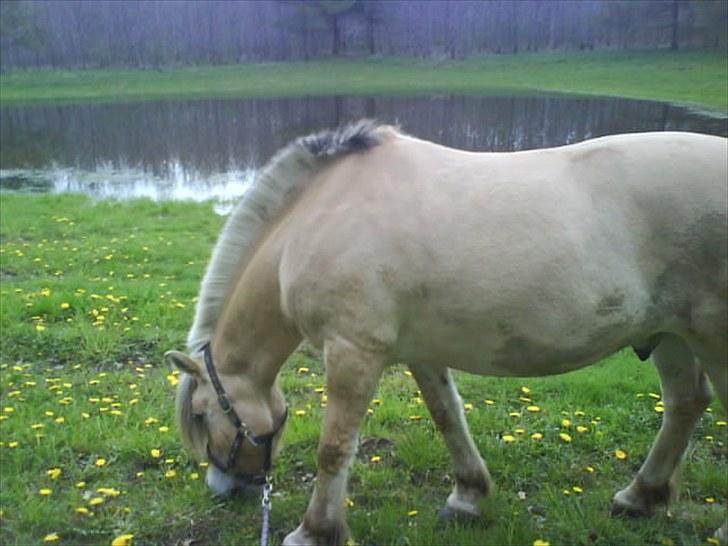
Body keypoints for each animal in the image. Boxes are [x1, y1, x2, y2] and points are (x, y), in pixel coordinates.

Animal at [166, 122, 728, 544]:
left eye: (202, 414)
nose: (224, 488)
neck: (313, 222)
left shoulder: (353, 352)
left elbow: (335, 447)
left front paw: (315, 532)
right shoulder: (421, 351)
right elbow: (447, 418)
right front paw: (468, 498)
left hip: (710, 335)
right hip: (671, 334)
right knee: (685, 403)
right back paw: (640, 497)